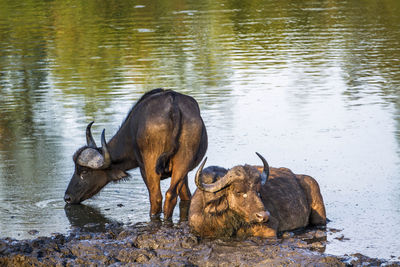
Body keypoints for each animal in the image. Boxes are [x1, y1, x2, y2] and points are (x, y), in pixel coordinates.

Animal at [64, 89, 208, 221]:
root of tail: (173, 105)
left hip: (151, 167)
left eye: (84, 171)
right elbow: (186, 196)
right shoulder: (184, 175)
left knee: (156, 197)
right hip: (183, 162)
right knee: (171, 195)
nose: (67, 197)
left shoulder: (143, 169)